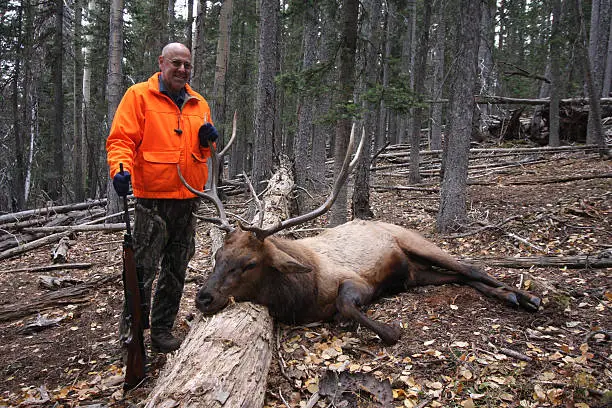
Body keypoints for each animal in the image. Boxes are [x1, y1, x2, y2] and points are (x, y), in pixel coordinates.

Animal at [180, 122, 540, 344]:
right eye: (218, 256)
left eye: (250, 263)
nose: (203, 297)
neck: (300, 296)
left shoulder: (356, 281)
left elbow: (346, 306)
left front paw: (391, 330)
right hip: (415, 274)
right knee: (459, 277)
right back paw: (510, 296)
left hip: (417, 243)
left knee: (471, 267)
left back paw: (527, 297)